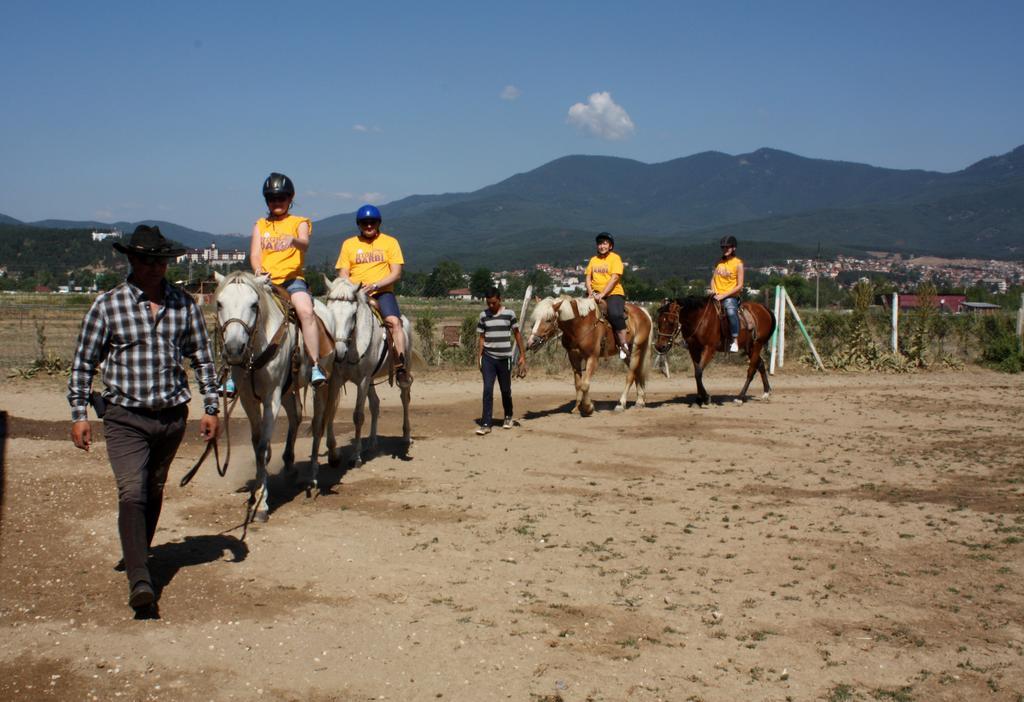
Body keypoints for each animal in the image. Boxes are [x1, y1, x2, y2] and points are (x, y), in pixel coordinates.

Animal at [214, 270, 337, 521]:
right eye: (220, 303)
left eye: (254, 305)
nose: (234, 349)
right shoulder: (247, 398)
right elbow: (257, 443)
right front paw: (256, 493)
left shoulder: (272, 397)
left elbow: (262, 447)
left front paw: (261, 504)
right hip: (289, 389)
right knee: (296, 417)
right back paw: (289, 467)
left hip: (321, 386)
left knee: (317, 425)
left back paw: (312, 478)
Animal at [323, 274, 411, 466]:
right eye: (330, 312)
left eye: (353, 315)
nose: (339, 351)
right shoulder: (337, 379)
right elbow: (330, 410)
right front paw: (333, 452)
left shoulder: (362, 380)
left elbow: (358, 416)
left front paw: (355, 455)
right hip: (371, 380)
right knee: (375, 404)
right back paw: (371, 442)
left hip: (403, 370)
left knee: (405, 399)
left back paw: (406, 435)